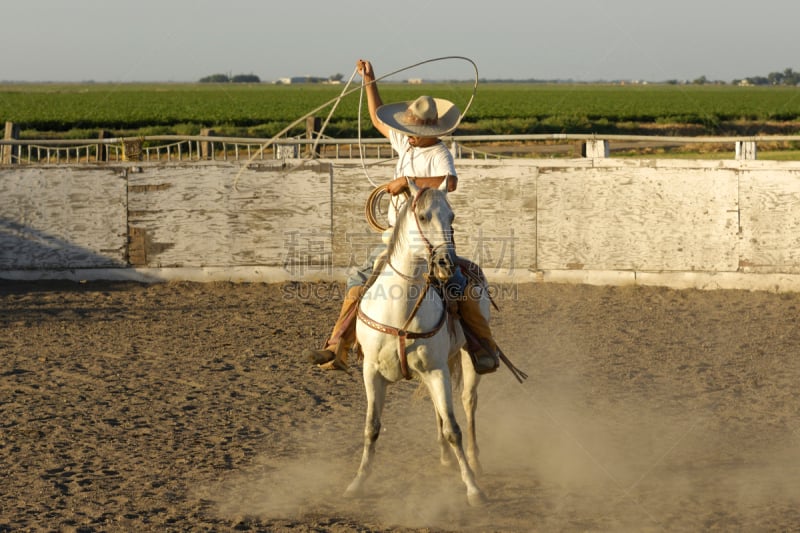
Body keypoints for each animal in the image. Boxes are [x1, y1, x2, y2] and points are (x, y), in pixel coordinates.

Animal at [344, 178, 488, 502]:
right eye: (422, 216)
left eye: (452, 216)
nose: (446, 263)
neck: (400, 310)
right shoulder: (372, 372)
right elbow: (371, 427)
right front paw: (358, 481)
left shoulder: (437, 369)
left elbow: (454, 429)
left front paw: (473, 487)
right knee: (438, 407)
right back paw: (446, 458)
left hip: (465, 360)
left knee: (468, 403)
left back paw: (475, 461)